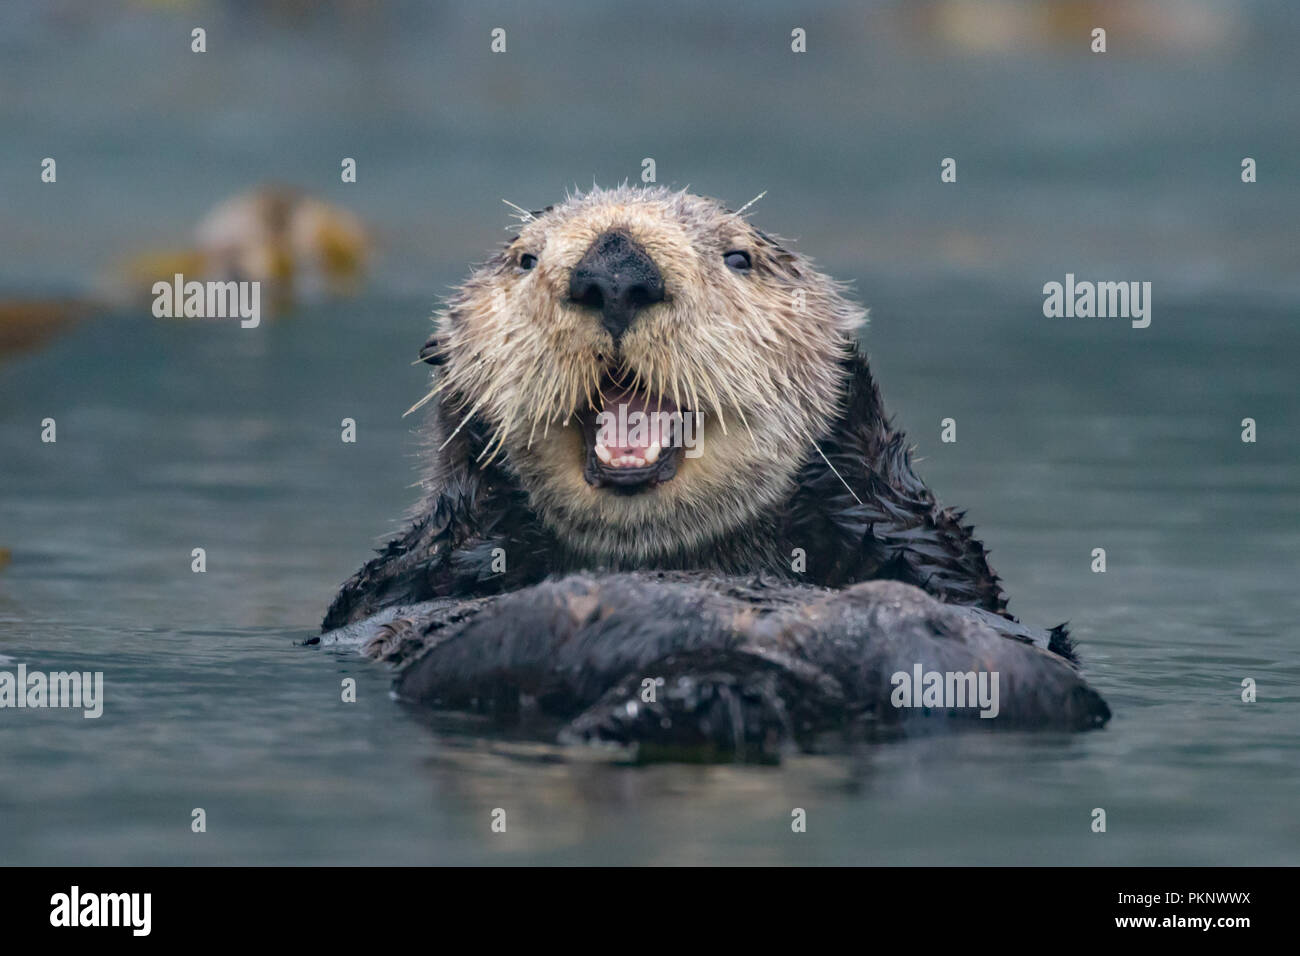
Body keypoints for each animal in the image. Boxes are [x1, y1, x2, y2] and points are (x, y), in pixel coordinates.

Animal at [325, 183, 1107, 759]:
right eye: (523, 259)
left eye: (738, 258)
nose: (615, 271)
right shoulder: (400, 581)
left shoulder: (943, 564)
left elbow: (931, 544)